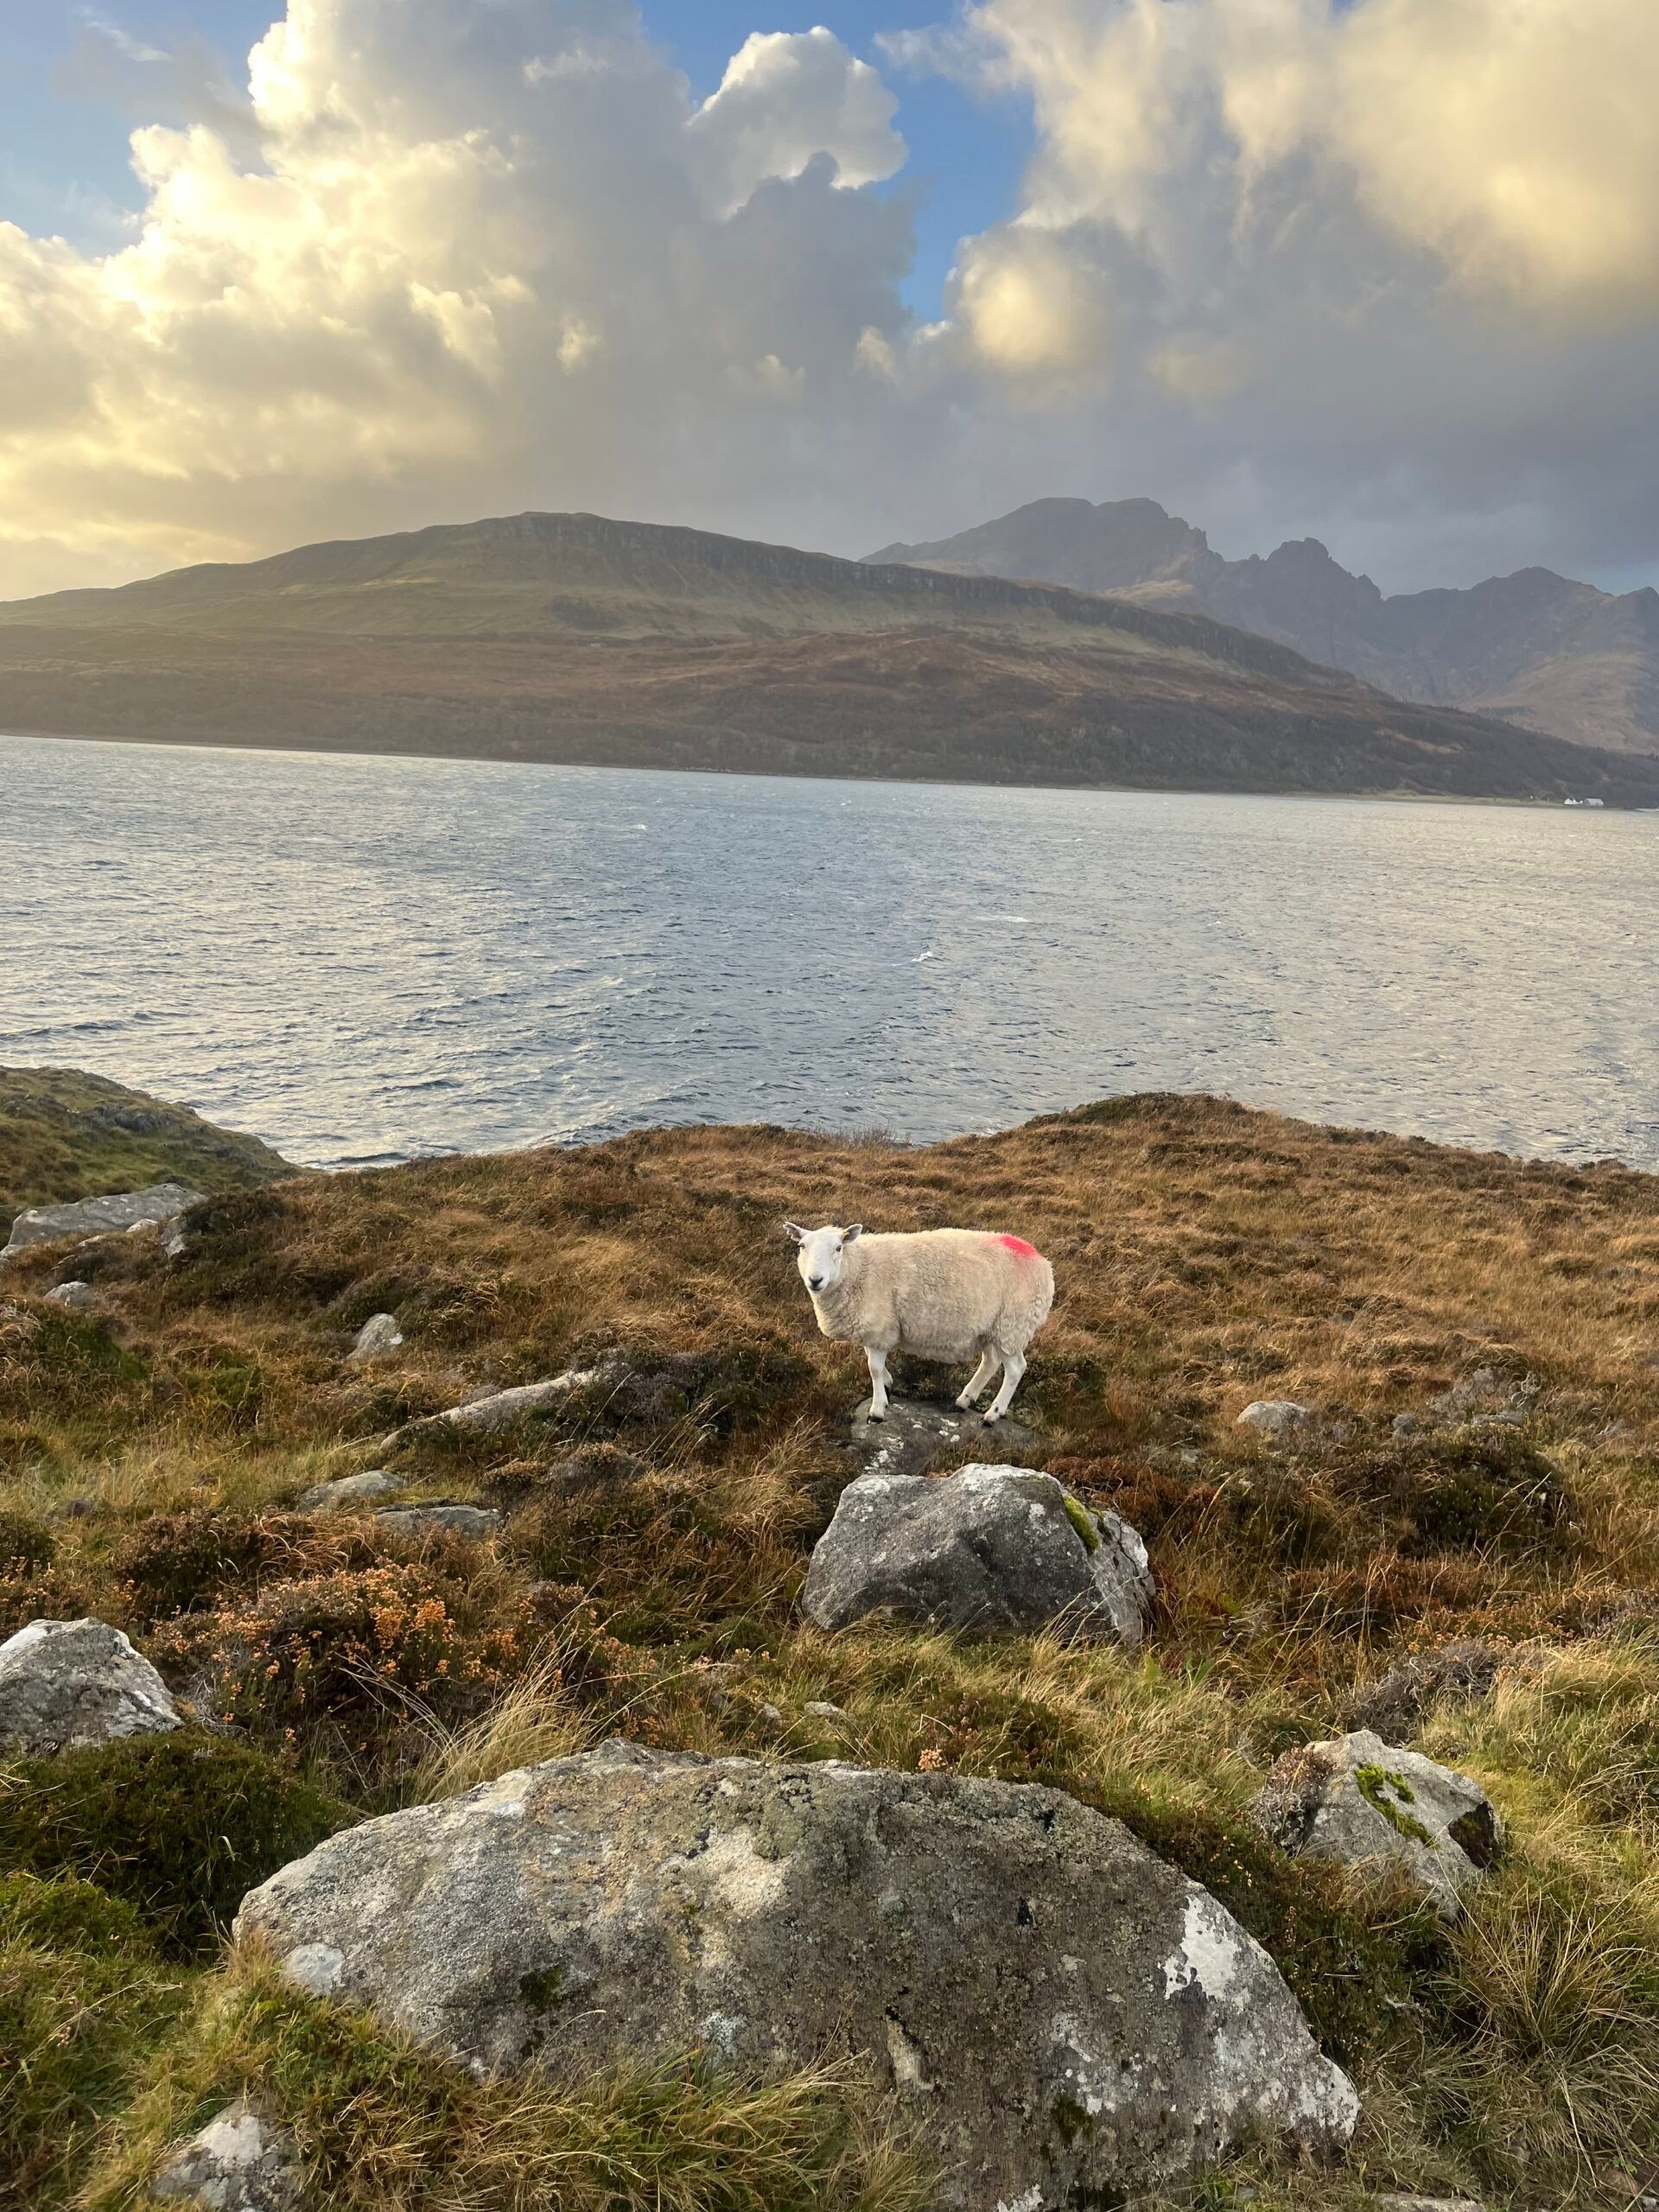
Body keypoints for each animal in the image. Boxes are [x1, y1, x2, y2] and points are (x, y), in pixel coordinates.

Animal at [785, 1221, 1054, 1424]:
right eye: (801, 1246)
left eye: (839, 1248)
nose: (815, 1280)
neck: (860, 1267)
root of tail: (1043, 1264)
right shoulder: (874, 1330)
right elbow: (873, 1362)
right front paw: (888, 1385)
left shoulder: (880, 1328)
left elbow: (873, 1367)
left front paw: (877, 1410)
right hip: (992, 1329)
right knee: (990, 1362)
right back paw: (964, 1401)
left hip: (1013, 1324)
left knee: (1015, 1369)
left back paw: (992, 1415)